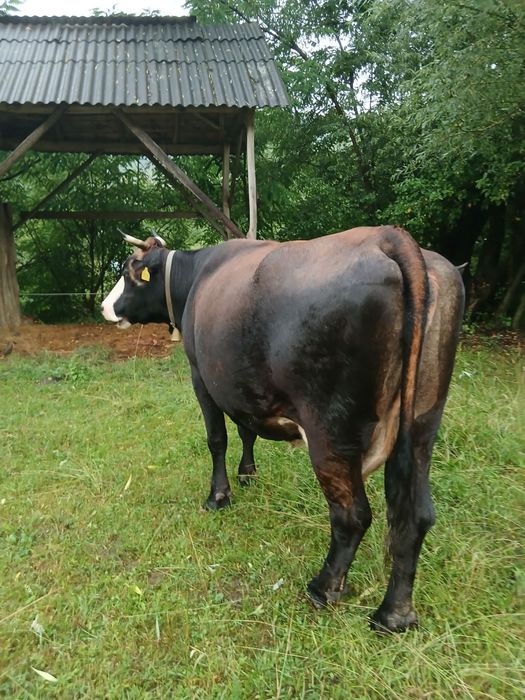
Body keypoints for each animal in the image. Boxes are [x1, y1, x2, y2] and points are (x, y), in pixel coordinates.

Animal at [101, 226, 464, 632]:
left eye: (129, 270)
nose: (104, 306)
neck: (193, 278)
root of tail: (387, 237)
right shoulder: (242, 388)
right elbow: (246, 430)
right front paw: (247, 473)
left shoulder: (202, 377)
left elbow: (217, 439)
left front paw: (218, 496)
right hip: (422, 424)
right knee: (415, 514)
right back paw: (394, 614)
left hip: (330, 429)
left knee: (352, 514)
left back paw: (323, 588)